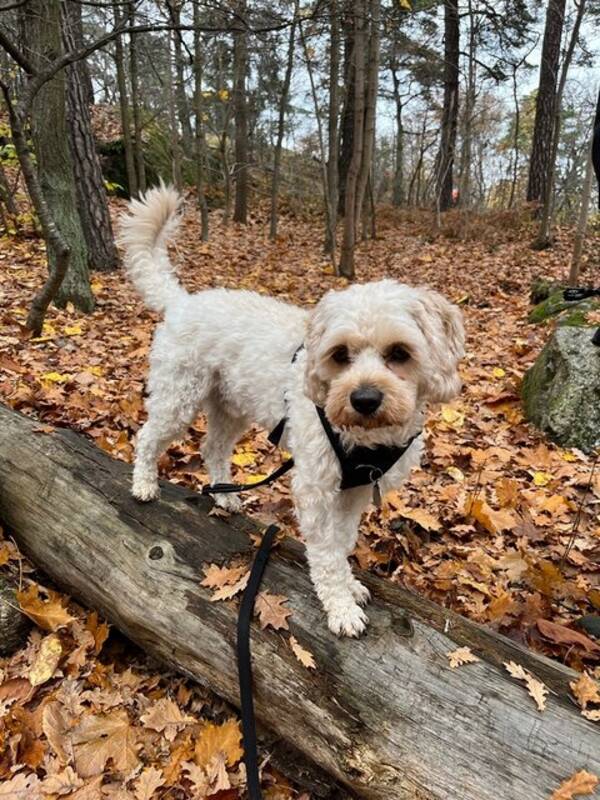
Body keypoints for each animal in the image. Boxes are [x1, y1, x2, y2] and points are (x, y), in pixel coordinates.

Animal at [118, 186, 464, 636]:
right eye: (340, 355)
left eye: (400, 353)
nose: (364, 399)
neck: (365, 439)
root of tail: (183, 303)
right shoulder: (316, 486)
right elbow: (327, 551)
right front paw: (340, 607)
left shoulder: (352, 493)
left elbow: (342, 542)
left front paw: (349, 587)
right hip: (181, 394)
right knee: (148, 436)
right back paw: (144, 484)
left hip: (230, 405)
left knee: (213, 449)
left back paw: (225, 497)